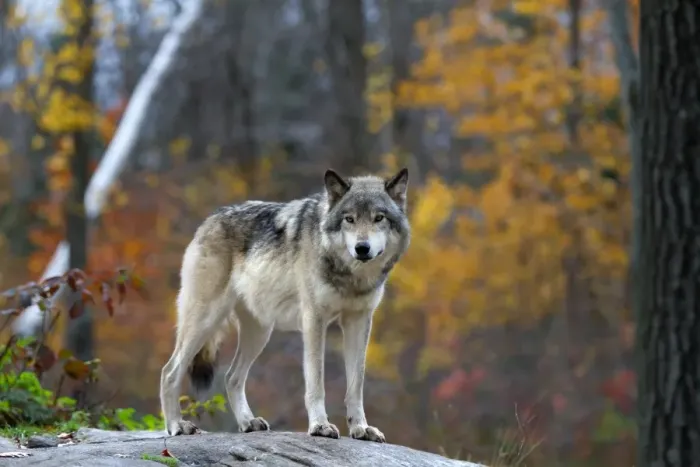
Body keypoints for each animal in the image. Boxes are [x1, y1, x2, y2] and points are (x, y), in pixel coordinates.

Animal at [159, 168, 410, 442]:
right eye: (349, 219)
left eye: (379, 218)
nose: (362, 248)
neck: (351, 276)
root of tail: (209, 220)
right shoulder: (314, 321)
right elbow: (316, 382)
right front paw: (320, 426)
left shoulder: (359, 321)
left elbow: (356, 384)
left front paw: (361, 428)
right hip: (205, 321)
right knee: (169, 372)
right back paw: (177, 426)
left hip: (259, 333)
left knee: (231, 376)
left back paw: (248, 422)